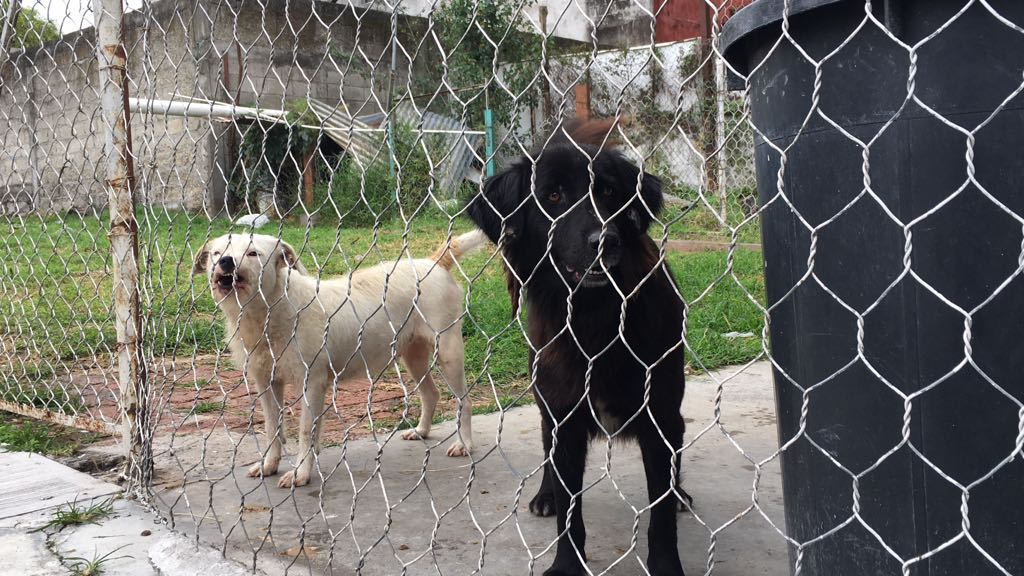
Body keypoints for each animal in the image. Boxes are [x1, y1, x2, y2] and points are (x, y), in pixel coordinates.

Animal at [196, 228, 491, 483]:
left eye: (253, 253)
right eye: (217, 252)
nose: (225, 262)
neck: (270, 310)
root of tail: (434, 262)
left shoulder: (312, 383)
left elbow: (305, 430)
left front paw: (301, 473)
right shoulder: (267, 383)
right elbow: (272, 428)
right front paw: (269, 465)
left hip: (448, 354)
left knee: (464, 401)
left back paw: (464, 444)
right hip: (413, 355)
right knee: (431, 393)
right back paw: (421, 431)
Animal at [468, 118, 692, 569]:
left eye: (608, 192)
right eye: (553, 196)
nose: (605, 241)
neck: (594, 318)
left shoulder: (659, 417)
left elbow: (660, 515)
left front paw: (665, 563)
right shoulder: (564, 417)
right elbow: (569, 513)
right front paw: (566, 565)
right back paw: (545, 495)